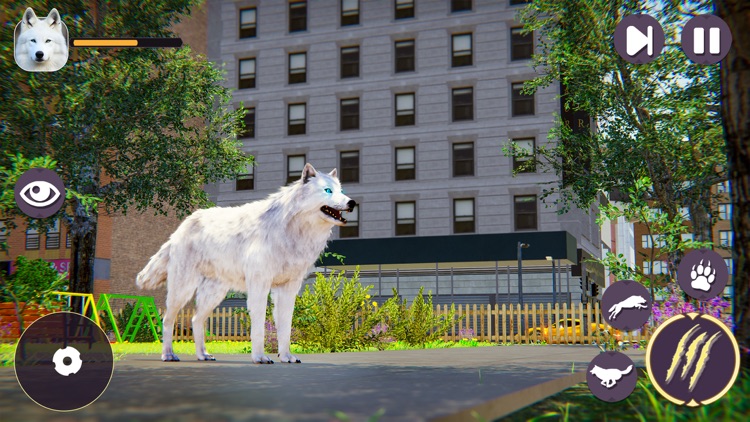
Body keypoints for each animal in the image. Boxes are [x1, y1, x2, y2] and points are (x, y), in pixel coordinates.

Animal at [137, 164, 355, 364]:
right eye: (327, 191)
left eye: (342, 191)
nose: (352, 202)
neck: (293, 231)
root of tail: (180, 228)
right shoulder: (259, 285)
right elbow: (258, 327)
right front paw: (260, 357)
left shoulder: (288, 289)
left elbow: (285, 327)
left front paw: (286, 357)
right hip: (183, 290)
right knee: (167, 319)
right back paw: (168, 355)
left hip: (214, 295)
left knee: (195, 319)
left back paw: (203, 355)